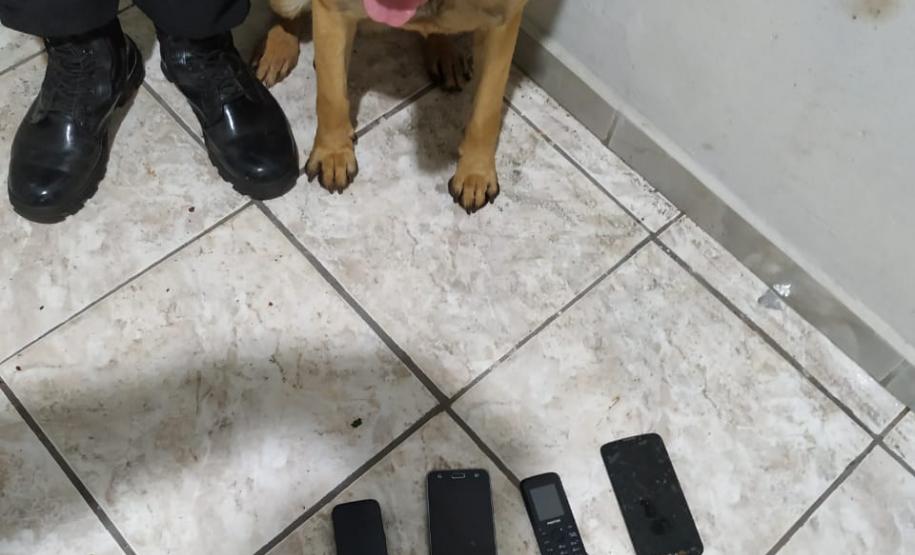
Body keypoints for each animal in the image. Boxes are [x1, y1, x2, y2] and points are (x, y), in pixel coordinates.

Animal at [254, 0, 529, 213]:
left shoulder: (502, 24)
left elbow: (486, 111)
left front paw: (476, 173)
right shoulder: (331, 11)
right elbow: (331, 96)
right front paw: (333, 153)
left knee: (437, 28)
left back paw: (444, 52)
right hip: (286, 3)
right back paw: (278, 47)